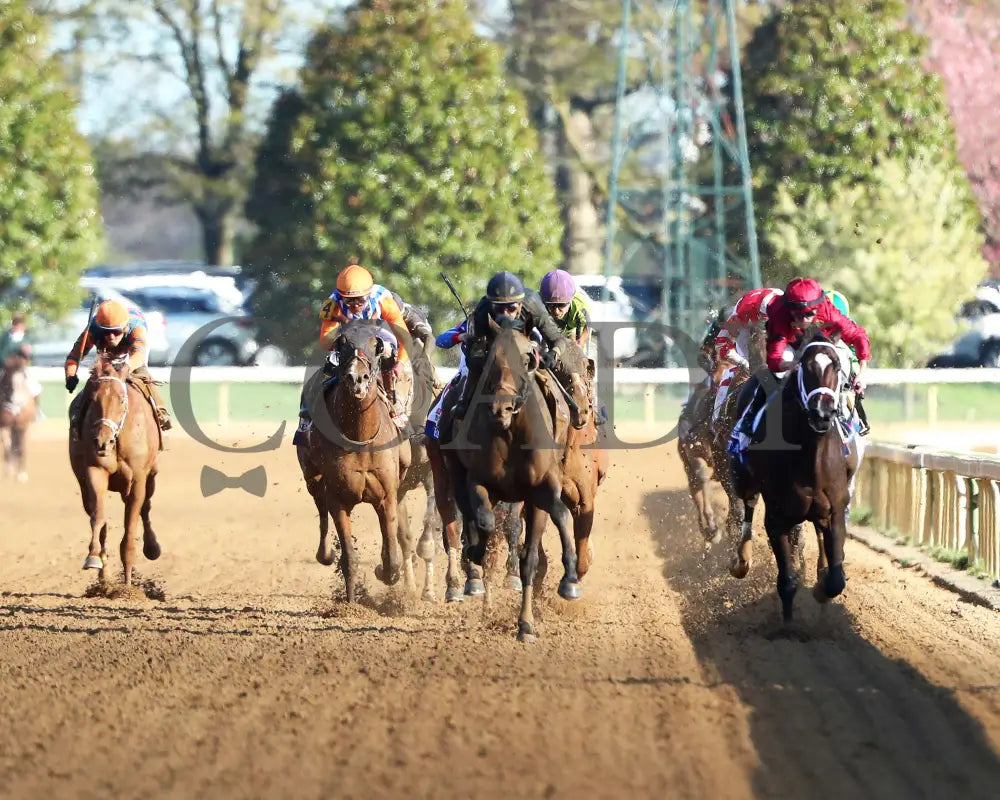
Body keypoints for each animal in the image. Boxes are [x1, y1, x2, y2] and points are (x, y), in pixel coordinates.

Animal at [0, 354, 38, 482]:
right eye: (7, 381)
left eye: (24, 378)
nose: (18, 403)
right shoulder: (4, 426)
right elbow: (7, 449)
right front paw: (8, 472)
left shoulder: (22, 426)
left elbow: (20, 448)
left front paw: (22, 475)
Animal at [68, 354, 160, 584]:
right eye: (93, 400)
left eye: (121, 400)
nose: (102, 441)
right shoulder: (95, 471)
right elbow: (99, 517)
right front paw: (93, 557)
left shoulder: (137, 480)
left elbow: (130, 532)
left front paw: (127, 586)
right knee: (97, 517)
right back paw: (103, 575)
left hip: (150, 477)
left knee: (145, 508)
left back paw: (152, 548)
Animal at [728, 334, 860, 620]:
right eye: (805, 367)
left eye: (836, 366)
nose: (822, 412)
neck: (811, 460)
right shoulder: (776, 519)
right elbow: (787, 582)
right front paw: (787, 623)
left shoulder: (835, 510)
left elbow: (836, 581)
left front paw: (822, 587)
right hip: (742, 478)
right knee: (747, 506)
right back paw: (741, 560)